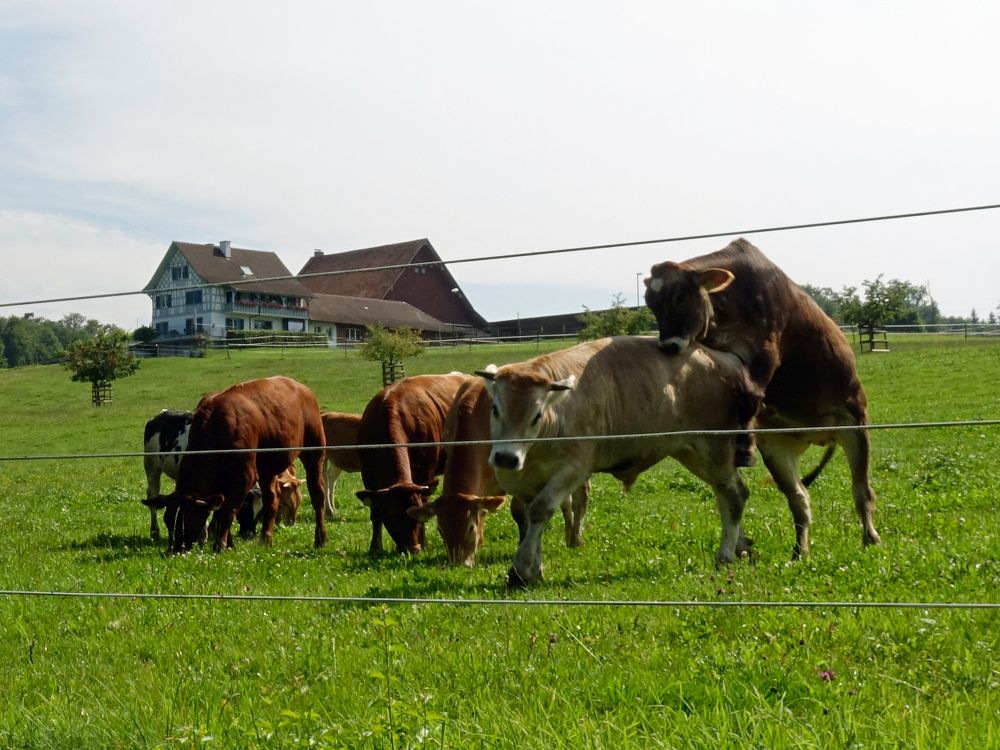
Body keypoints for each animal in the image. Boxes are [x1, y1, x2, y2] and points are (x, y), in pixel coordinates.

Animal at [141, 376, 326, 552]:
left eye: (189, 519)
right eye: (169, 521)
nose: (174, 550)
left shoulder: (244, 477)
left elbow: (226, 512)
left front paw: (221, 544)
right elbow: (221, 511)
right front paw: (224, 542)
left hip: (313, 453)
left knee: (315, 494)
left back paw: (320, 538)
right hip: (151, 467)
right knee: (152, 494)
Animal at [356, 374, 472, 556]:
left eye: (416, 513)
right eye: (392, 515)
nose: (412, 549)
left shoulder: (425, 472)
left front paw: (423, 543)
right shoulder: (368, 475)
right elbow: (375, 514)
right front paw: (375, 547)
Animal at [410, 378, 588, 568]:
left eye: (470, 527)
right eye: (440, 529)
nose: (458, 564)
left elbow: (518, 510)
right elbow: (482, 510)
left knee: (578, 496)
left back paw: (575, 538)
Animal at [478, 338, 756, 592]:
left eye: (536, 415)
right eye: (495, 409)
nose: (506, 457)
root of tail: (724, 358)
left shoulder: (574, 469)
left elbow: (540, 510)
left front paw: (521, 570)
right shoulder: (526, 483)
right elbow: (530, 517)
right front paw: (534, 568)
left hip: (714, 448)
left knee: (734, 495)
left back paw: (725, 554)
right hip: (693, 453)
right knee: (727, 494)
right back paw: (741, 546)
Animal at [644, 236, 880, 560]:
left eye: (681, 296)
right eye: (650, 304)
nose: (668, 345)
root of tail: (817, 435)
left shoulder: (767, 352)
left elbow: (752, 393)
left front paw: (744, 447)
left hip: (855, 425)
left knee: (862, 491)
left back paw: (871, 540)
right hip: (779, 449)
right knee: (799, 498)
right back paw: (799, 552)